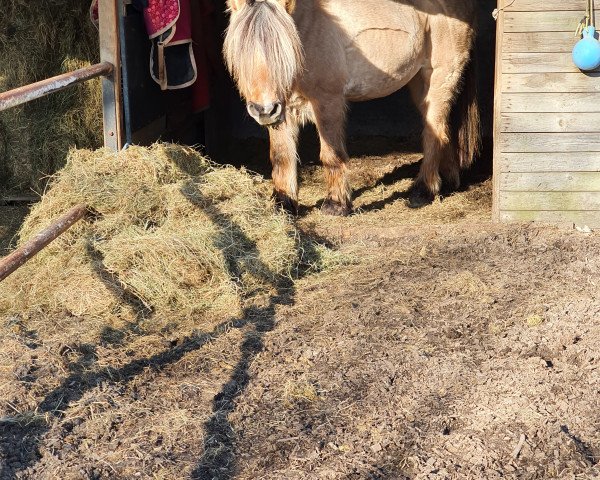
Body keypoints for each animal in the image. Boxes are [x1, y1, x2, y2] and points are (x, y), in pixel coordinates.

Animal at [223, 0, 480, 216]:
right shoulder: (284, 110)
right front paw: (284, 204)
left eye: (283, 51)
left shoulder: (328, 102)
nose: (264, 109)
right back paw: (447, 182)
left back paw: (423, 191)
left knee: (434, 133)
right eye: (241, 52)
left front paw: (336, 204)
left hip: (440, 78)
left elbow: (331, 154)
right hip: (420, 85)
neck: (308, 29)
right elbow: (281, 156)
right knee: (443, 130)